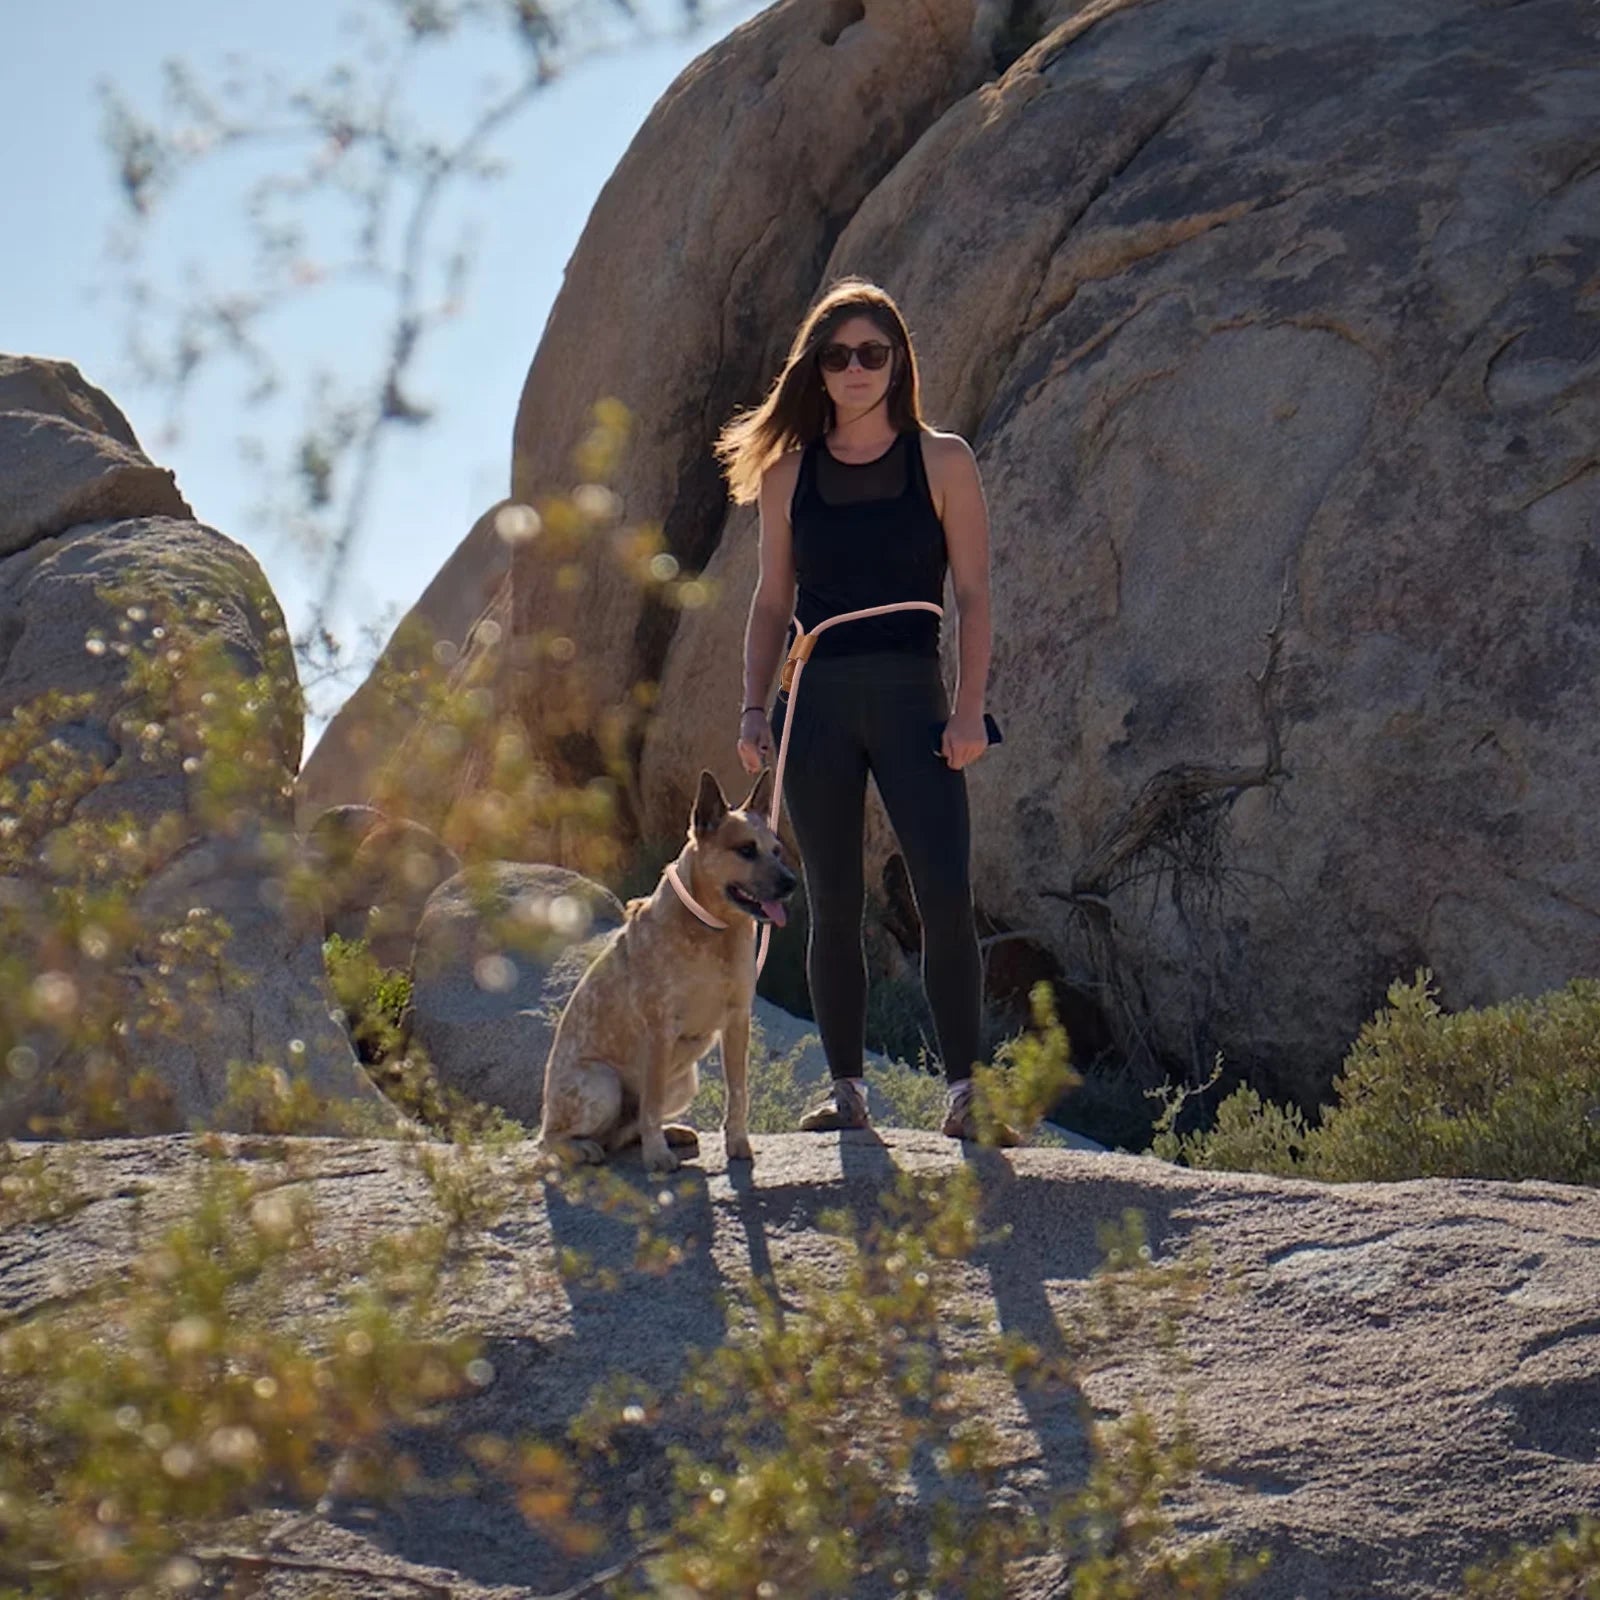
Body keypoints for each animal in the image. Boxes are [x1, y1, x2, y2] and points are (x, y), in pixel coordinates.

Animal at [534, 768, 796, 1171]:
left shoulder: (738, 1021)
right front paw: (657, 1156)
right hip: (601, 1085)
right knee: (553, 1140)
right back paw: (585, 1148)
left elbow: (738, 1091)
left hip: (686, 1081)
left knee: (624, 1131)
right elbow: (653, 1103)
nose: (791, 883)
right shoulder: (660, 1029)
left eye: (777, 851)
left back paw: (669, 1133)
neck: (712, 931)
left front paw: (738, 1143)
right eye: (746, 850)